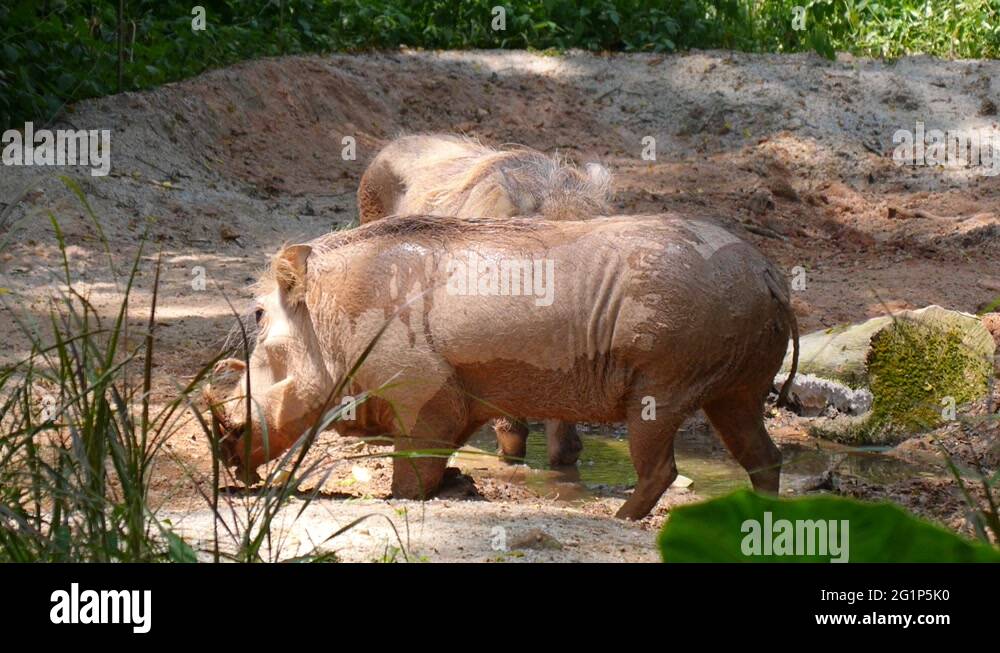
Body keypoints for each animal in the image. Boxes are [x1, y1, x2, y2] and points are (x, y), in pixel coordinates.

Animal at [204, 213, 799, 520]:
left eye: (260, 317)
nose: (225, 462)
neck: (332, 320)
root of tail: (768, 273)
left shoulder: (424, 404)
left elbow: (408, 482)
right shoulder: (457, 408)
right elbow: (436, 469)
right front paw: (460, 485)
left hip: (660, 392)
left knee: (662, 470)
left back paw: (620, 520)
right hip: (735, 394)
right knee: (763, 457)